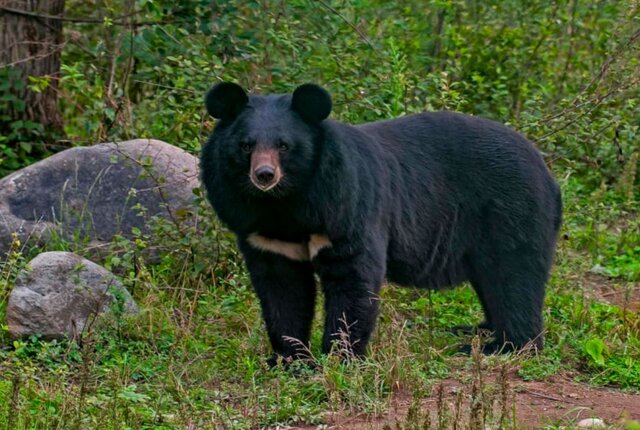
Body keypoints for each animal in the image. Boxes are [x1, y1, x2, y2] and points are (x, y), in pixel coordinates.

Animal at [200, 82, 562, 365]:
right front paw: (290, 359)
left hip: (511, 211)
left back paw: (503, 346)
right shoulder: (263, 232)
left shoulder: (345, 207)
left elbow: (352, 278)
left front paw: (339, 357)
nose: (264, 175)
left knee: (513, 277)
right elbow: (281, 289)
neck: (285, 204)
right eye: (246, 145)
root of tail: (547, 172)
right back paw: (478, 329)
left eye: (284, 145)